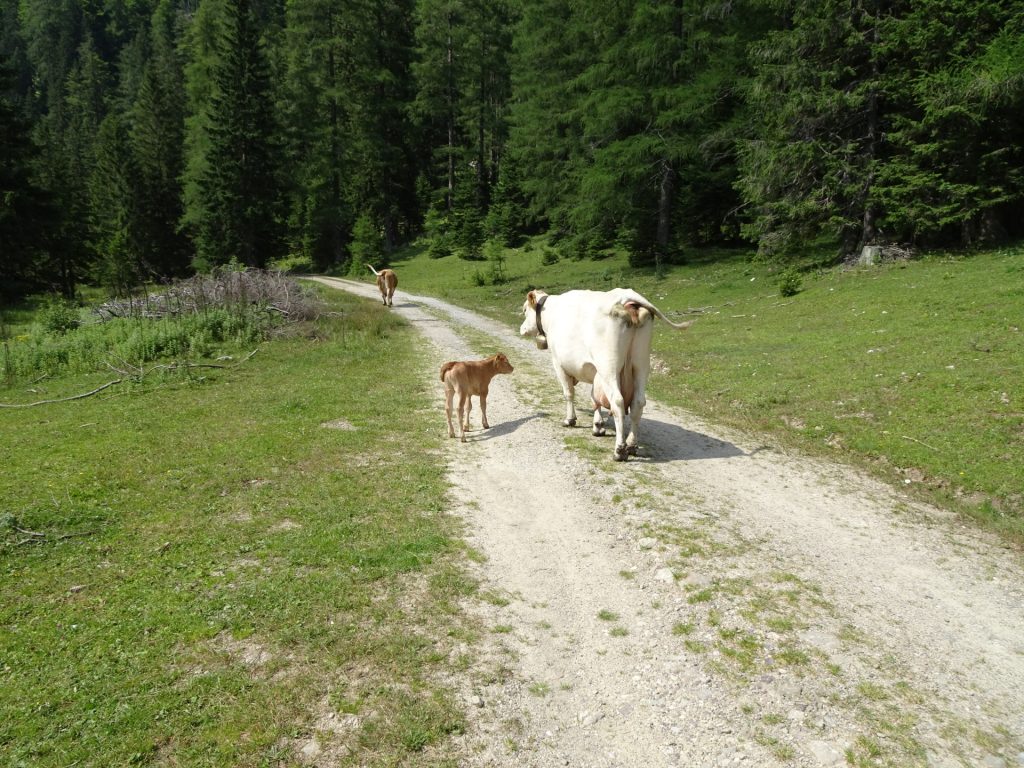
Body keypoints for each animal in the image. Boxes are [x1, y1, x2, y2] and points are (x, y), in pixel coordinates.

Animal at [516, 286, 692, 460]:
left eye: (524, 310)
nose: (521, 329)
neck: (550, 312)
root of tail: (626, 297)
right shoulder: (595, 372)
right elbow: (595, 398)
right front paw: (598, 426)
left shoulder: (559, 363)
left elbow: (569, 393)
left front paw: (570, 420)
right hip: (641, 365)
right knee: (638, 403)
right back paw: (631, 445)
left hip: (609, 367)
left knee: (618, 401)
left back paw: (619, 450)